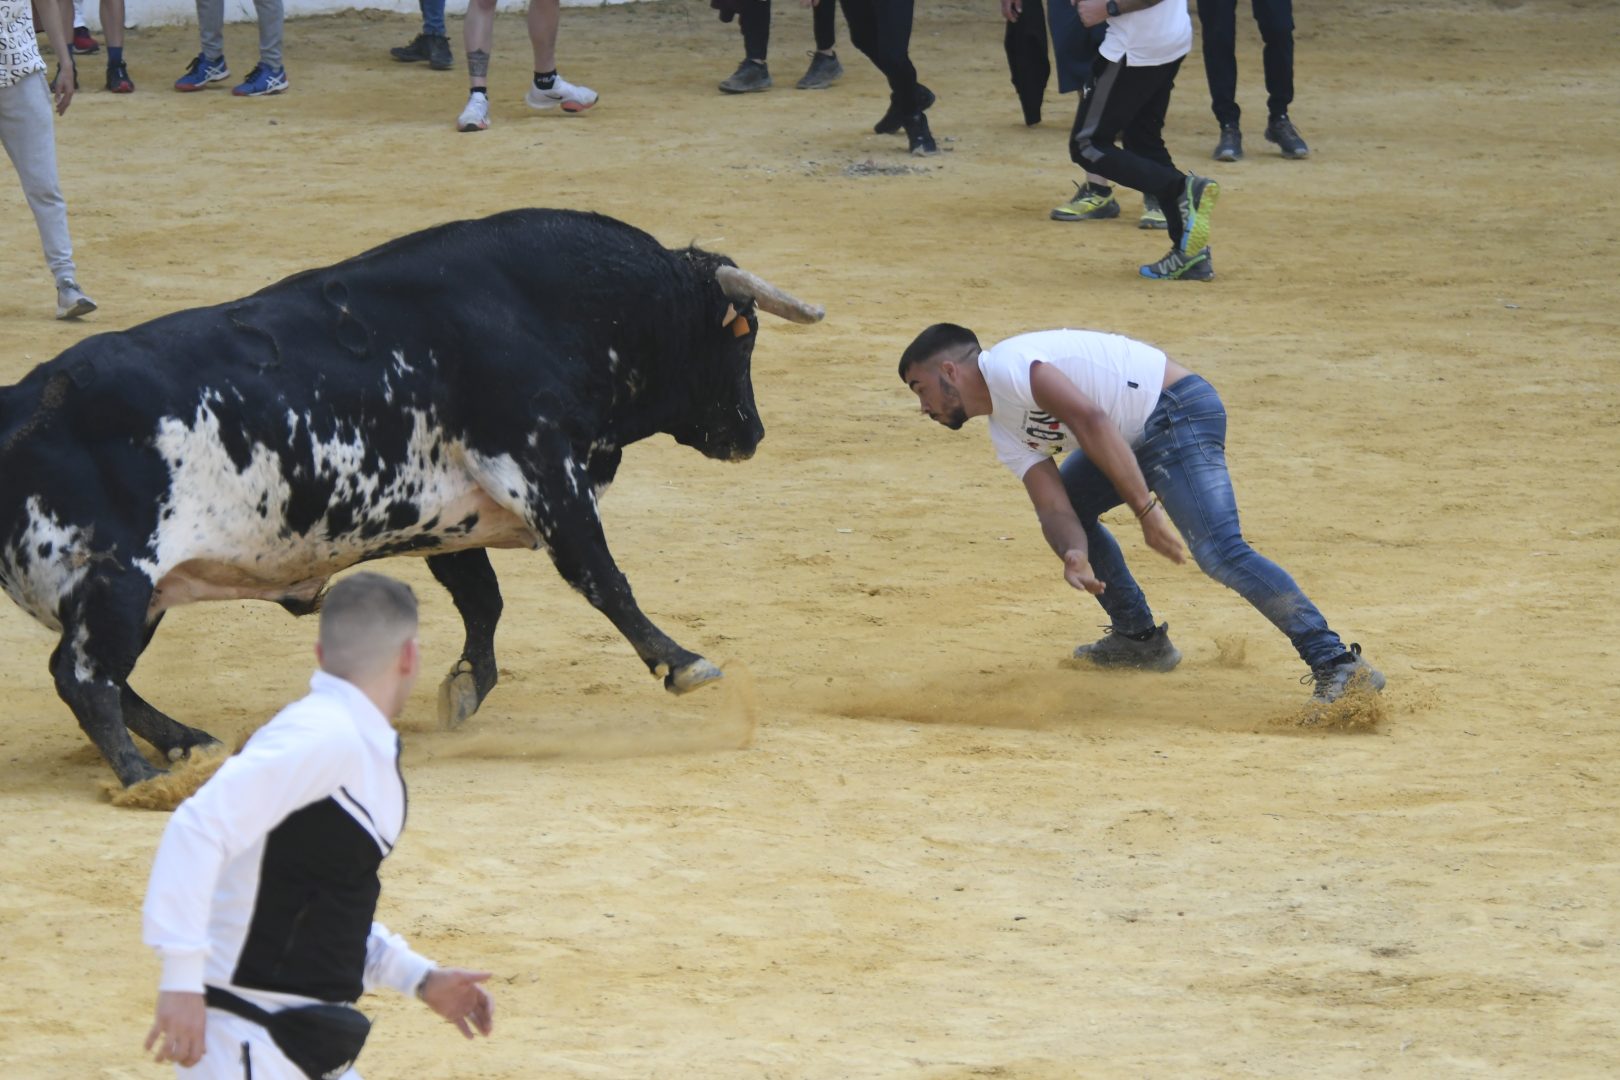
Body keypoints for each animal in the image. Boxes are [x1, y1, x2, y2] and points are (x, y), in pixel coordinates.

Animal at [0, 209, 823, 788]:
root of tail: (22, 400)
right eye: (742, 337)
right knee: (83, 677)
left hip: (142, 593)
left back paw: (187, 742)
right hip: (114, 579)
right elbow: (602, 579)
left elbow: (484, 602)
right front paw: (684, 663)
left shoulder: (450, 517)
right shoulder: (542, 470)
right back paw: (141, 776)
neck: (549, 307)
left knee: (106, 677)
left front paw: (463, 690)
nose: (751, 434)